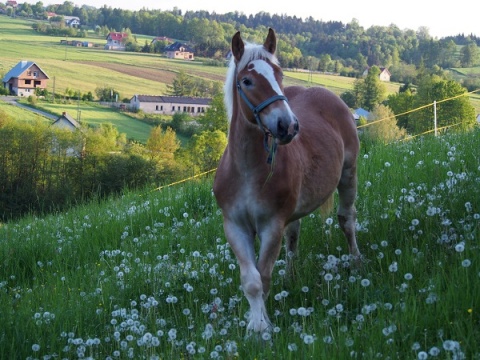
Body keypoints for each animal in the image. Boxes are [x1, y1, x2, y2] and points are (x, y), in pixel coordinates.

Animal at [214, 28, 360, 332]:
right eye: (246, 81)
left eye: (279, 75)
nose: (288, 126)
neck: (247, 171)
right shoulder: (235, 227)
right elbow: (251, 281)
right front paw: (255, 325)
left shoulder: (272, 226)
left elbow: (263, 278)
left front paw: (263, 327)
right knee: (294, 236)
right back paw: (291, 277)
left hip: (349, 175)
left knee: (346, 219)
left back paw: (356, 261)